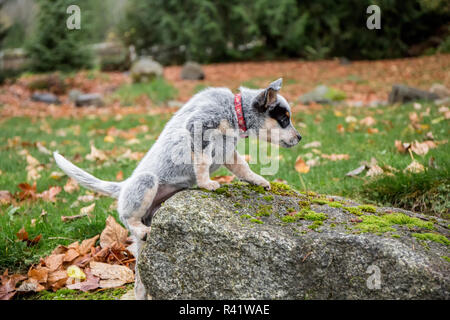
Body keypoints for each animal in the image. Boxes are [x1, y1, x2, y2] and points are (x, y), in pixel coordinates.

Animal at [52, 78, 300, 300]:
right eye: (284, 119)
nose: (300, 137)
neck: (234, 111)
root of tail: (122, 186)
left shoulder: (227, 153)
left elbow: (243, 168)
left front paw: (258, 180)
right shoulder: (200, 127)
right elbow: (202, 161)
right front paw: (206, 183)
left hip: (146, 238)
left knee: (140, 279)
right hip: (146, 182)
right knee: (127, 217)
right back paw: (139, 227)